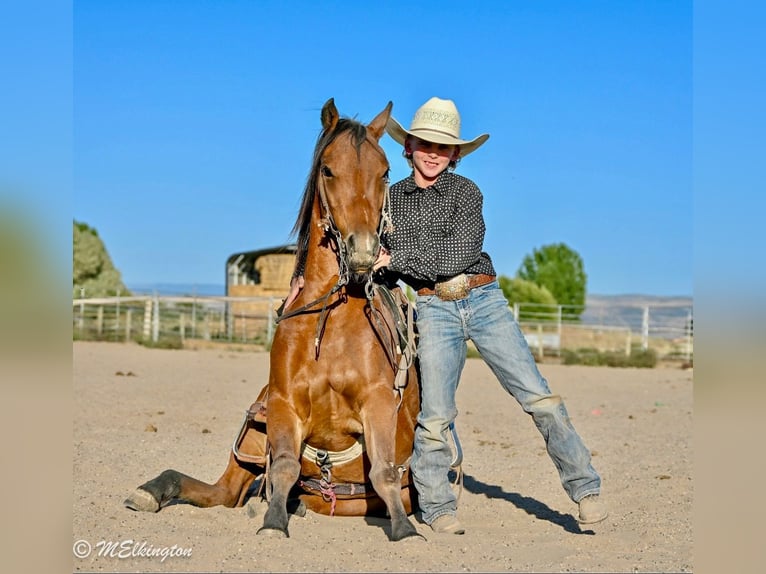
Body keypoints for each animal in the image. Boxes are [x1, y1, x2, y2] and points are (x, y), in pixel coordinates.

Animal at [124, 98, 423, 542]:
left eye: (384, 171)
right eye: (328, 169)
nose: (363, 251)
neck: (331, 326)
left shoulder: (378, 402)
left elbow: (385, 471)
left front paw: (405, 529)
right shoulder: (283, 404)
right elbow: (283, 466)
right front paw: (273, 521)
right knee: (222, 491)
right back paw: (153, 490)